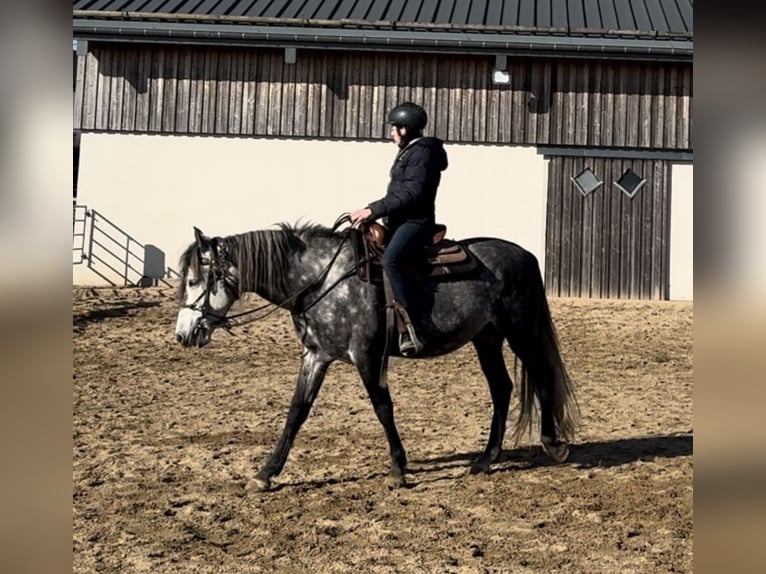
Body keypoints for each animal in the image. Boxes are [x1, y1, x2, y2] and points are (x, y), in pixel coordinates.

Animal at [176, 218, 584, 492]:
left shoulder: (367, 356)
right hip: (486, 338)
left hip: (521, 331)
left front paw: (399, 469)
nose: (183, 334)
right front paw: (265, 474)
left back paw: (552, 444)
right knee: (501, 388)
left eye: (195, 280)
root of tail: (525, 254)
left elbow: (382, 407)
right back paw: (486, 460)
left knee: (543, 376)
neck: (322, 280)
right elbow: (296, 413)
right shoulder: (316, 356)